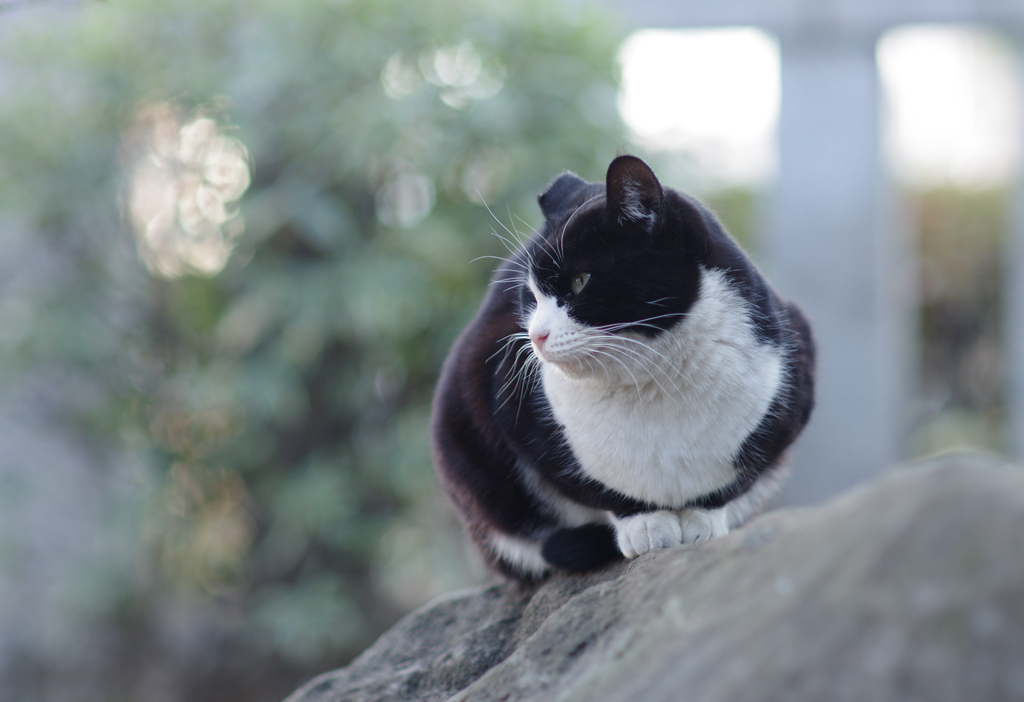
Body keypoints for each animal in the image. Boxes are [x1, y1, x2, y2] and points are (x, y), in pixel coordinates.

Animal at [430, 156, 815, 581]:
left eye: (580, 282)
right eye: (531, 295)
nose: (535, 336)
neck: (656, 383)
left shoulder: (794, 377)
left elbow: (732, 483)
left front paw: (703, 519)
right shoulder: (509, 402)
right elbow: (598, 488)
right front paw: (645, 522)